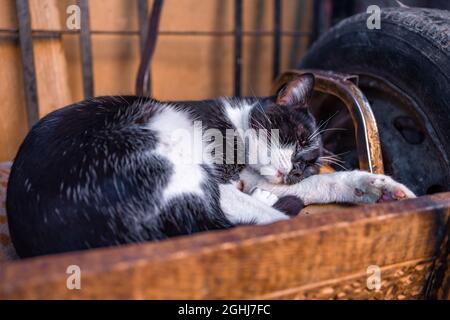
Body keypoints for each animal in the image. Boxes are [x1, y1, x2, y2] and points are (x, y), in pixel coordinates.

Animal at [6, 73, 414, 258]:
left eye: (310, 162)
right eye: (295, 138)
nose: (295, 169)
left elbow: (325, 183)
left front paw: (377, 188)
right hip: (162, 144)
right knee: (259, 219)